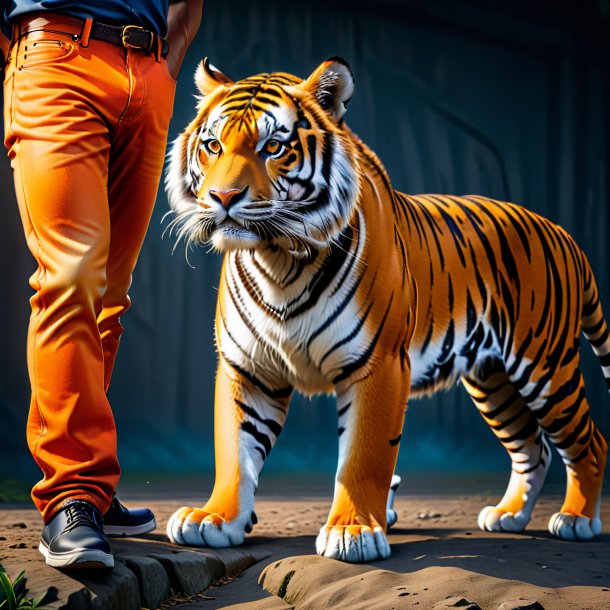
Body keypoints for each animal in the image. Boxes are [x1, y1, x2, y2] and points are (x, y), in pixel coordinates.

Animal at [163, 57, 608, 560]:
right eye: (213, 146)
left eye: (273, 146)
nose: (221, 199)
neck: (279, 261)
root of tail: (562, 232)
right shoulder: (248, 367)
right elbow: (235, 451)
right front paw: (214, 519)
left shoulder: (378, 364)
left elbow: (365, 455)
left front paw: (352, 532)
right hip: (492, 380)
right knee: (533, 446)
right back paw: (508, 516)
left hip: (544, 366)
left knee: (589, 442)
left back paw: (576, 520)